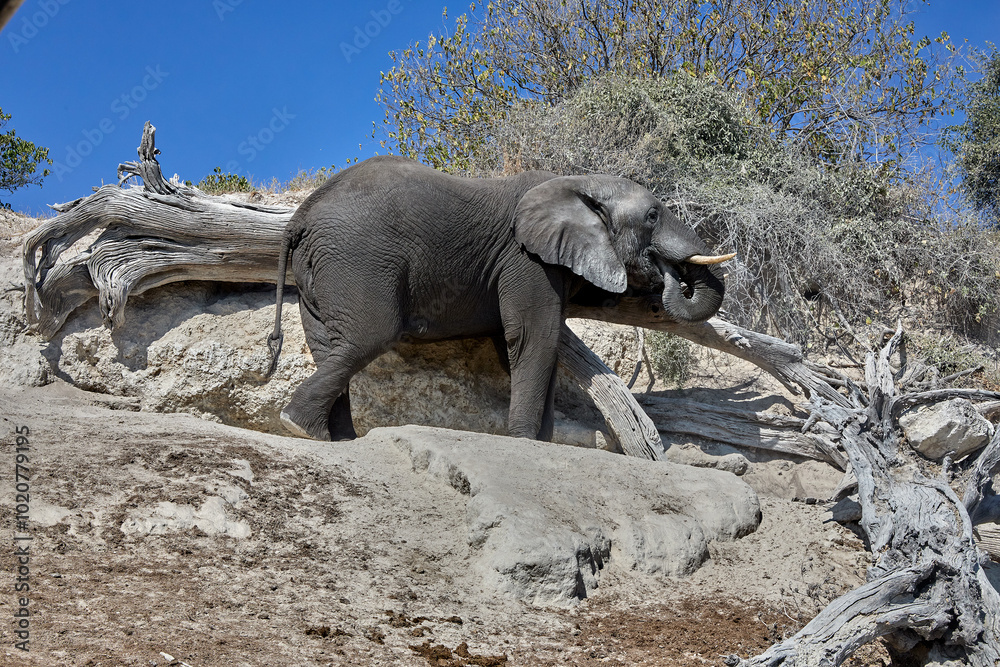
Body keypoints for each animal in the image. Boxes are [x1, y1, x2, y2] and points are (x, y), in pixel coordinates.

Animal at [267, 156, 733, 442]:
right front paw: (526, 440)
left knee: (327, 346)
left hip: (318, 270)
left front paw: (545, 443)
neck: (578, 183)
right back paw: (299, 428)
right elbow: (532, 337)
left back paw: (332, 437)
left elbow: (544, 343)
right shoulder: (525, 258)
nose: (667, 272)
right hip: (357, 257)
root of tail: (299, 217)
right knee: (368, 337)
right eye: (653, 215)